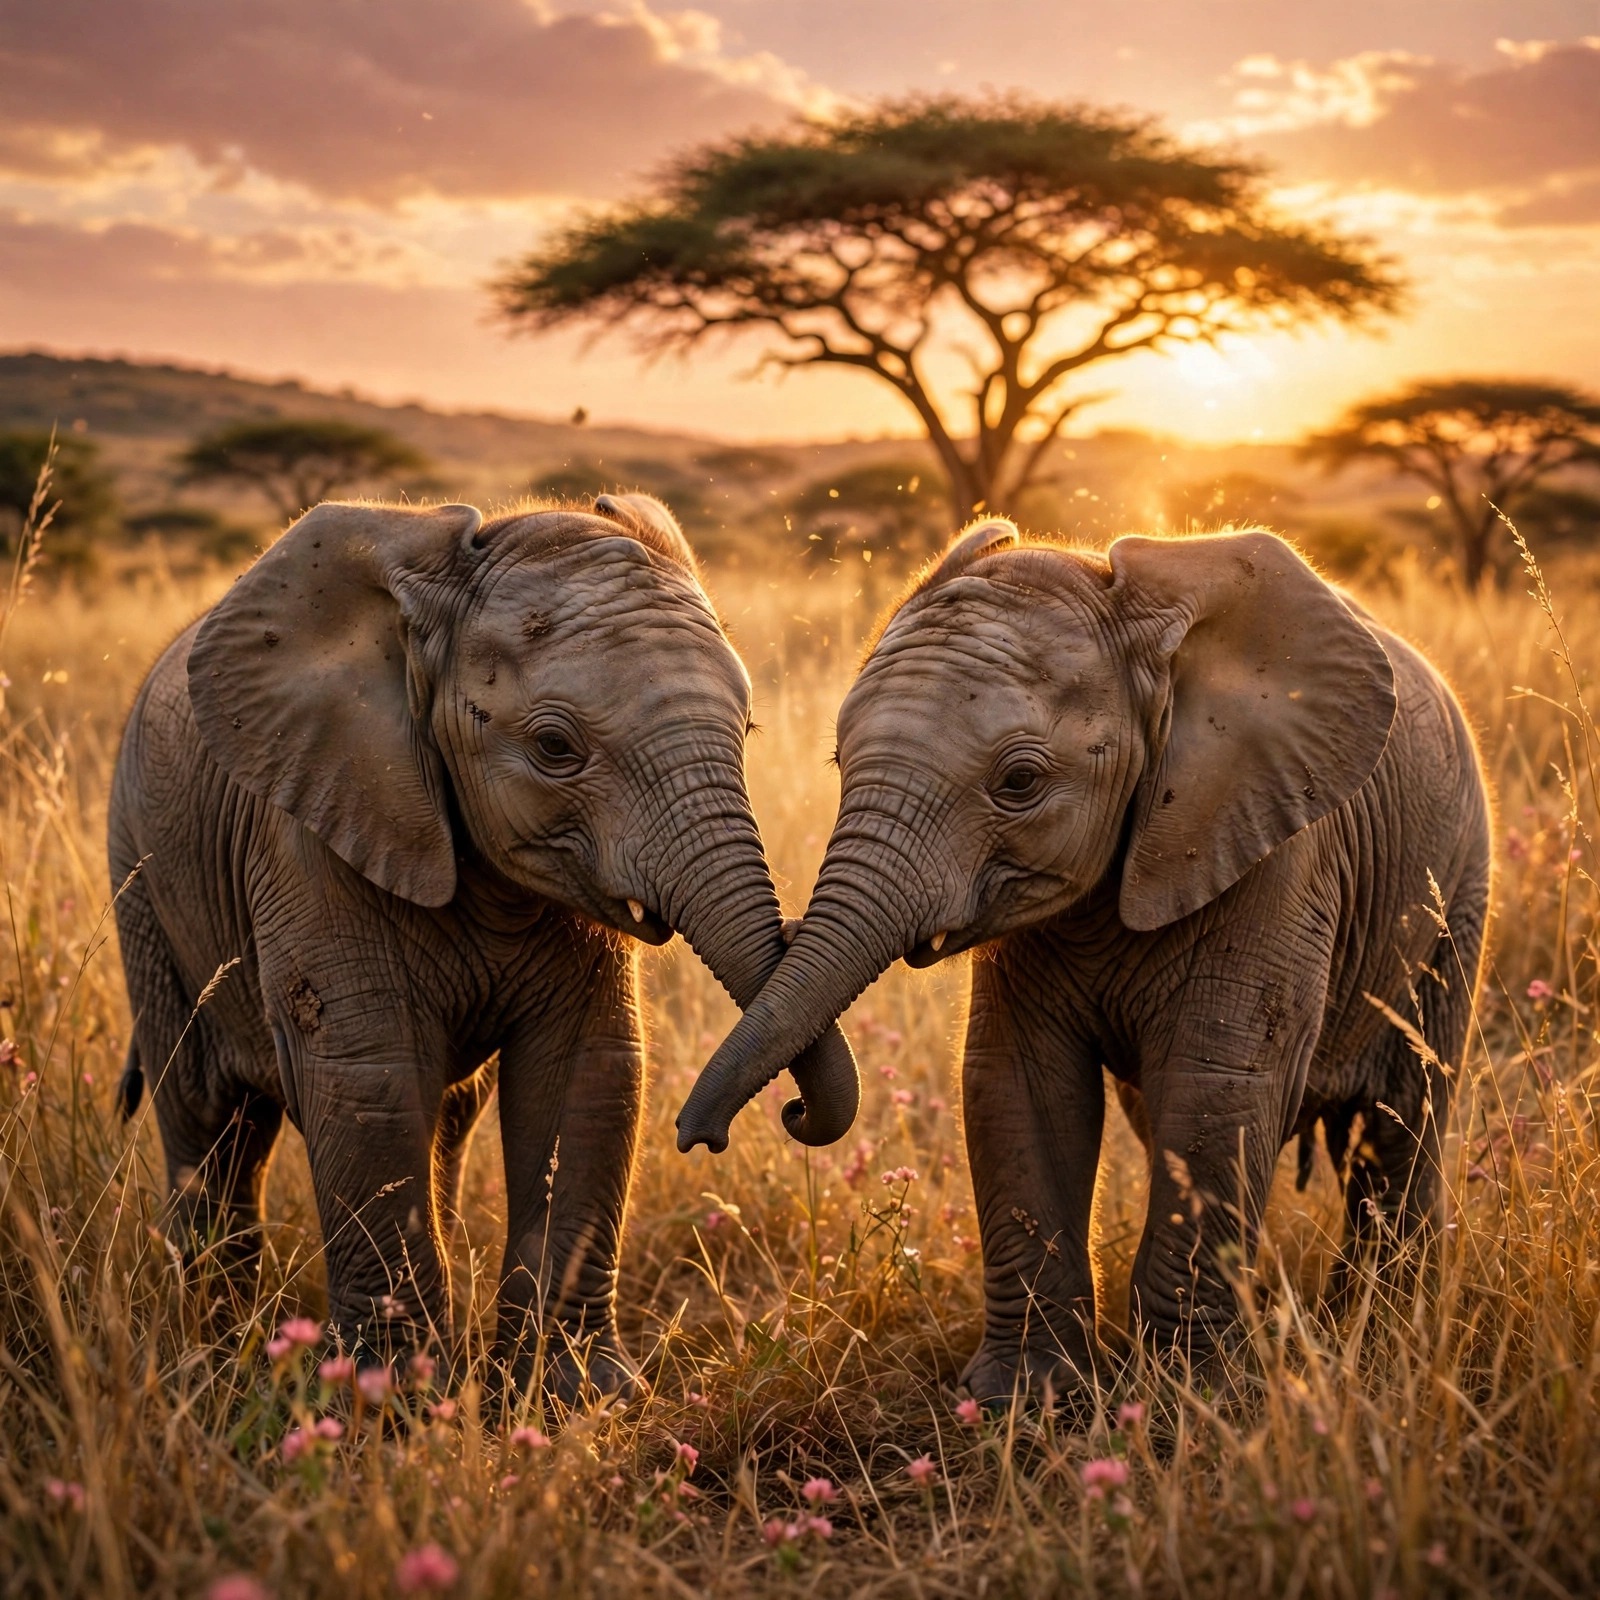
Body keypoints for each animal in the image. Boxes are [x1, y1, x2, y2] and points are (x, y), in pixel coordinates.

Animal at [108, 492, 858, 1400]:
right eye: (555, 749)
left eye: (746, 730)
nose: (781, 1116)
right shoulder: (310, 834)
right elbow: (370, 1080)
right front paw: (390, 1405)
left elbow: (585, 1074)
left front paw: (575, 1397)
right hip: (140, 875)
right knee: (205, 1115)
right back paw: (212, 1361)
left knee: (436, 1116)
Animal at [677, 521, 1491, 1402]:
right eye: (837, 761)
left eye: (1019, 781)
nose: (706, 1136)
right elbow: (1017, 1087)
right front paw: (1021, 1399)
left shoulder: (1278, 854)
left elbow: (1215, 1089)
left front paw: (1187, 1401)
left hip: (1459, 894)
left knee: (1405, 1113)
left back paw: (1379, 1331)